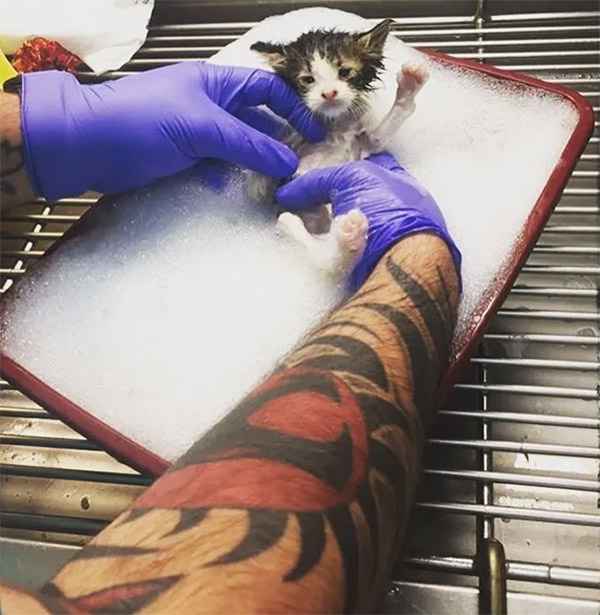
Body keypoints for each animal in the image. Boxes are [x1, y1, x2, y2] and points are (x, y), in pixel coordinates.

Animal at [249, 19, 429, 282]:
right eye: (307, 79)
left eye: (344, 72)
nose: (329, 93)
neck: (333, 128)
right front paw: (256, 169)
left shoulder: (365, 146)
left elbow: (378, 137)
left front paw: (410, 84)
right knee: (324, 261)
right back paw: (340, 236)